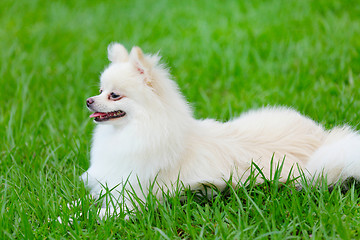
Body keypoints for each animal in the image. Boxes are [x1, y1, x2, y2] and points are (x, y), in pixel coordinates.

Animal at [82, 42, 360, 218]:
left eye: (114, 95)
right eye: (100, 90)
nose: (88, 100)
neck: (140, 129)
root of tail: (323, 140)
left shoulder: (131, 200)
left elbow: (94, 215)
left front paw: (75, 218)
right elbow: (81, 203)